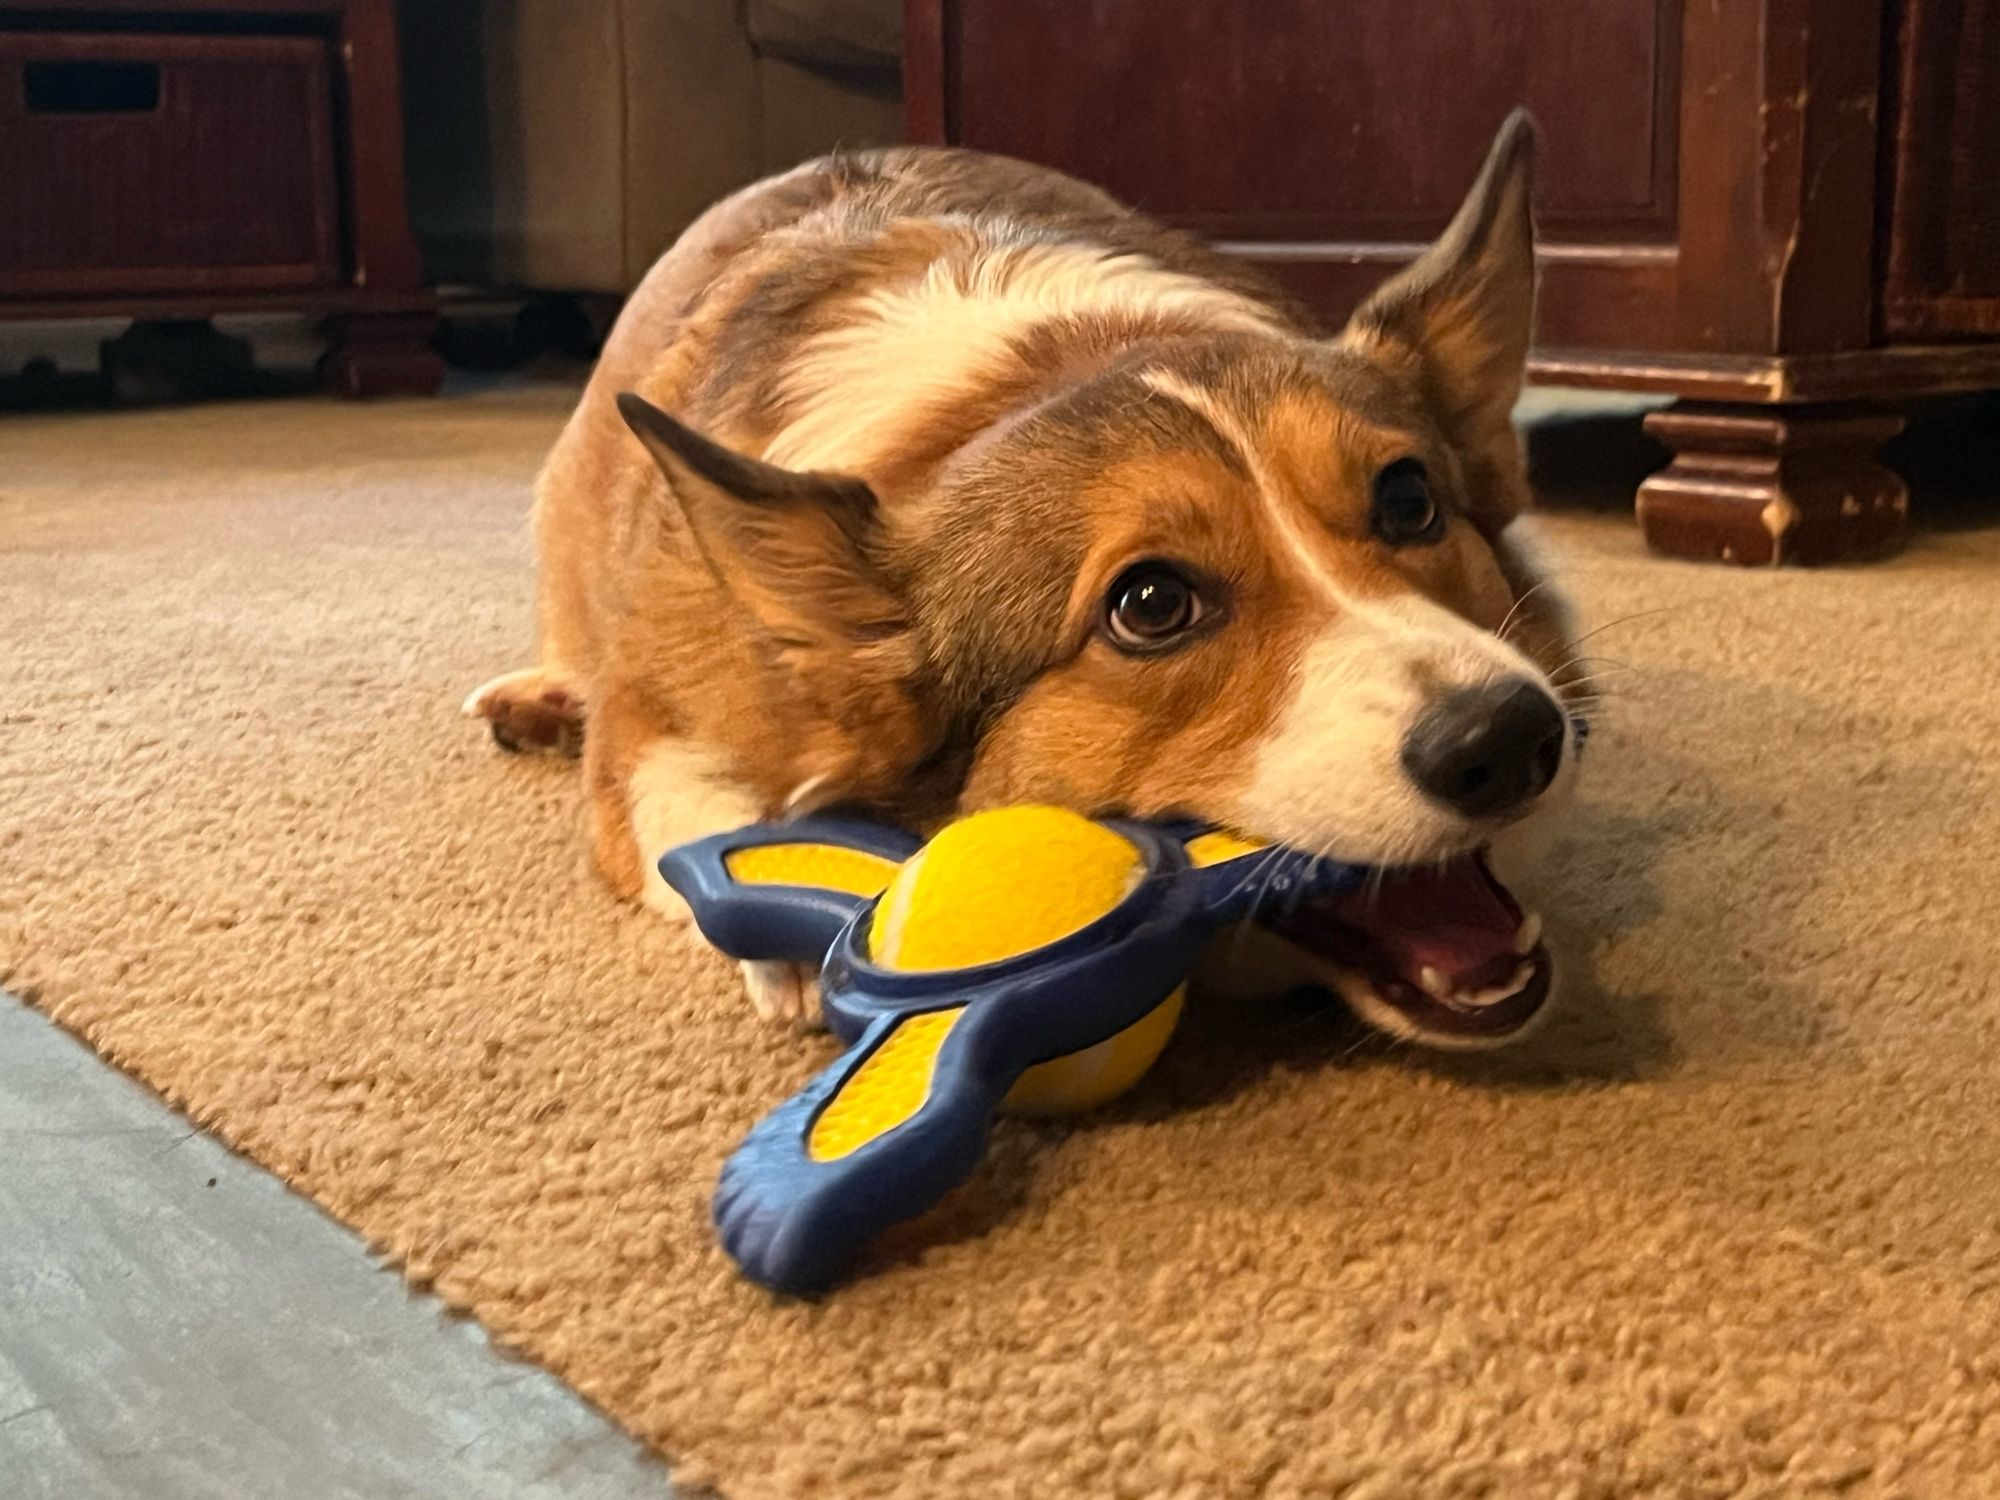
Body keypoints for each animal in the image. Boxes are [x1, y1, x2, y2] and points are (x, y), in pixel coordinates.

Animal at [464, 111, 1576, 1048]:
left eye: (1408, 501)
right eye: (1150, 605)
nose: (1506, 740)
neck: (1038, 369)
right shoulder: (651, 727)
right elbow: (694, 810)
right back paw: (536, 701)